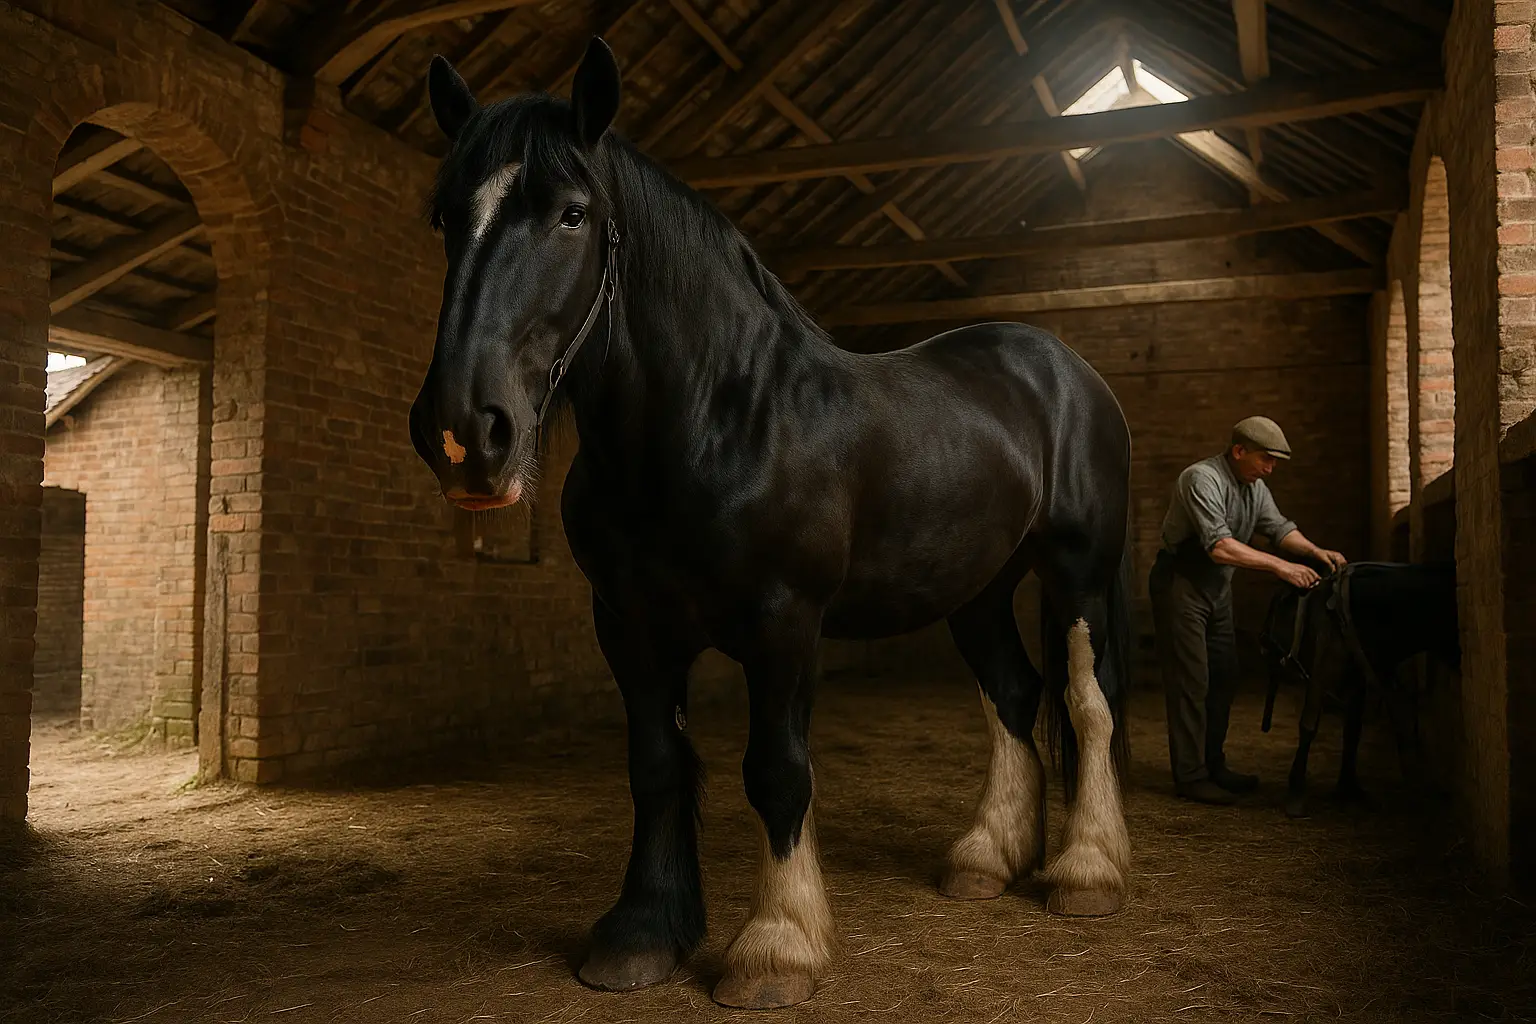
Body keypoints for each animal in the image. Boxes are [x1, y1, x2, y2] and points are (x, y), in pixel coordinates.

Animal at [407, 37, 1135, 1010]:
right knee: (1014, 697)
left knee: (1089, 704)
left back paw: (1087, 872)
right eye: (446, 217)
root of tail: (1066, 371)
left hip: (1077, 572)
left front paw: (777, 948)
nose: (463, 431)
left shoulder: (785, 623)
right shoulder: (628, 627)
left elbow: (778, 772)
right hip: (978, 591)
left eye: (571, 214)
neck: (718, 418)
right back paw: (985, 860)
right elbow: (656, 765)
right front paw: (642, 934)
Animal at [1257, 561, 1459, 819]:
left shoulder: (1363, 677)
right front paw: (1296, 792)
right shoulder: (1322, 673)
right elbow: (1309, 725)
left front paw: (1348, 788)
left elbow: (1355, 729)